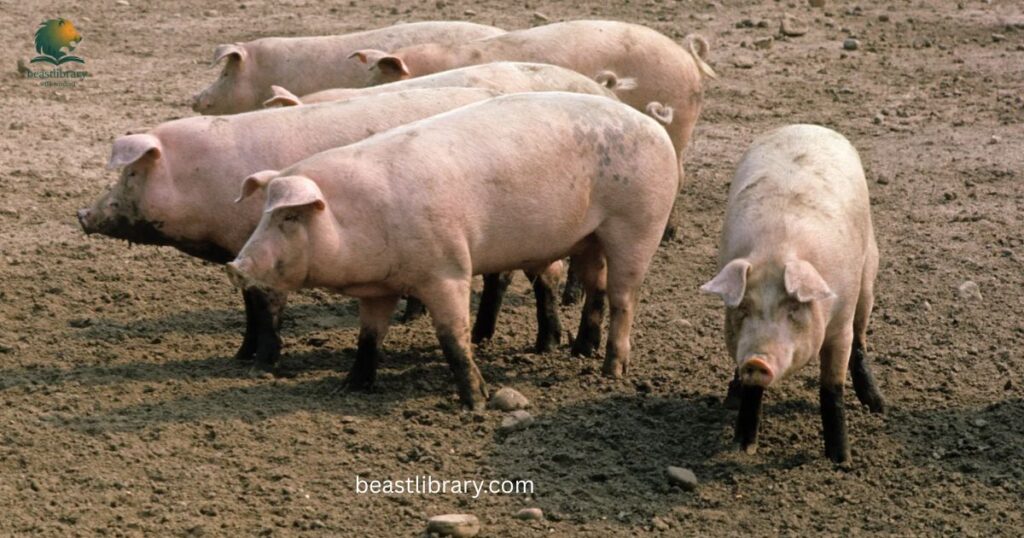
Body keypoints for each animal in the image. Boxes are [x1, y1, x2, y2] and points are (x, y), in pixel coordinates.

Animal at [78, 88, 508, 371]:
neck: (199, 180)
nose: (82, 213)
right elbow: (249, 306)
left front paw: (261, 365)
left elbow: (267, 307)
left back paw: (481, 337)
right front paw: (240, 356)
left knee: (498, 280)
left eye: (132, 174)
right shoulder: (241, 249)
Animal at [226, 92, 680, 410]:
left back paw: (611, 370)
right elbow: (369, 335)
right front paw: (350, 386)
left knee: (624, 298)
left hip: (637, 226)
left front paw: (476, 402)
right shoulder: (379, 288)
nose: (236, 264)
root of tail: (652, 124)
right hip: (588, 239)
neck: (357, 217)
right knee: (596, 288)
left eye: (290, 217)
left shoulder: (447, 268)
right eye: (264, 213)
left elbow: (452, 337)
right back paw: (579, 349)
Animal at [700, 124, 884, 463]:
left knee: (861, 337)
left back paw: (878, 405)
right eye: (743, 309)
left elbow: (832, 387)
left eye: (792, 309)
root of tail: (807, 125)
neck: (777, 249)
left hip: (868, 275)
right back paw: (731, 398)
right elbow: (753, 392)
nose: (757, 360)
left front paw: (841, 461)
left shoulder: (839, 326)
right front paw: (743, 448)